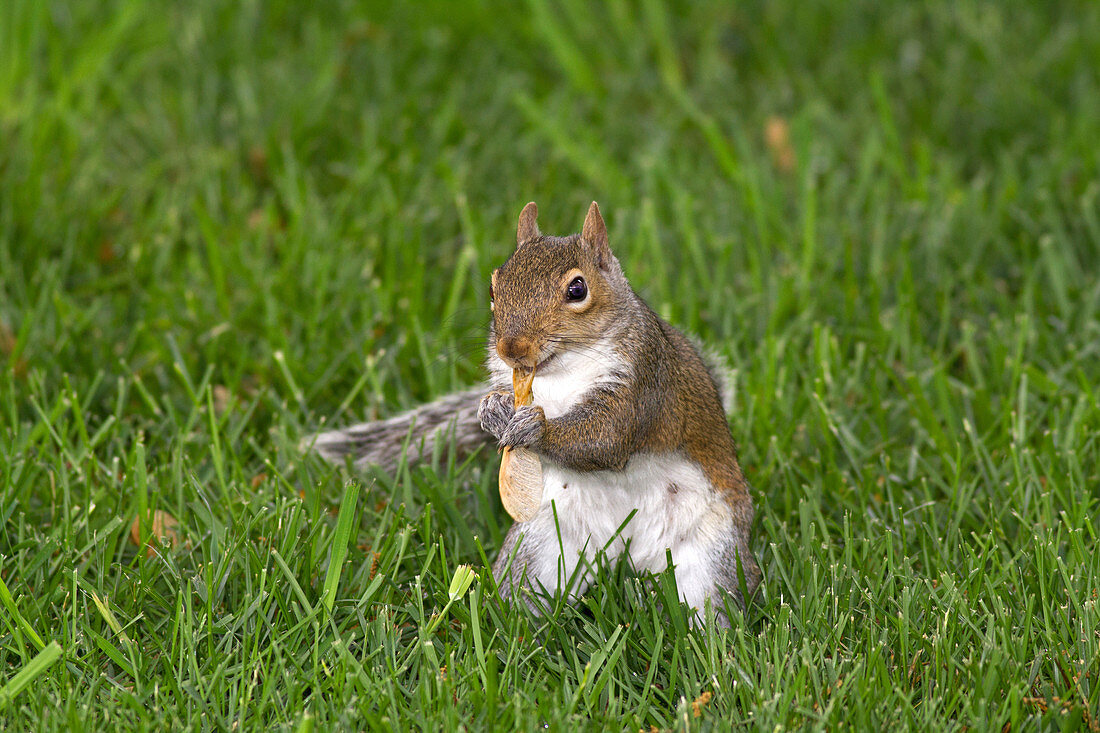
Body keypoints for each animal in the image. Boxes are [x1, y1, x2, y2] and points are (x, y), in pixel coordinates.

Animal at [310, 201, 756, 620]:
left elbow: (606, 438)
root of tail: (627, 554)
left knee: (709, 606)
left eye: (578, 289)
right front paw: (491, 410)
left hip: (711, 556)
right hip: (542, 548)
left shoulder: (643, 381)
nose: (512, 348)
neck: (562, 370)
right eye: (494, 289)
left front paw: (535, 431)